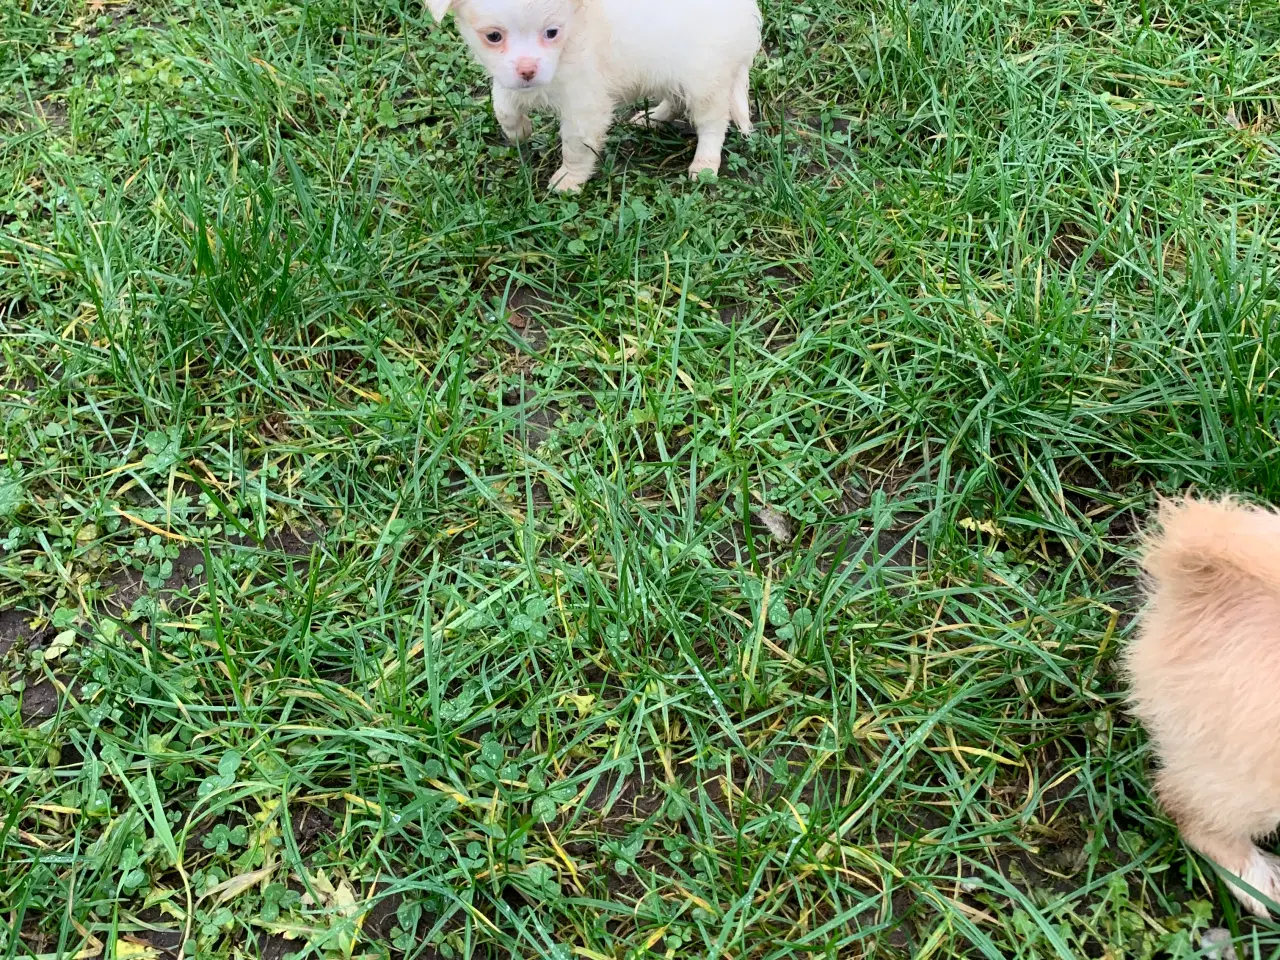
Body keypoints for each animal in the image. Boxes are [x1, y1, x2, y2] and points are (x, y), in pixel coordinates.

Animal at [424, 0, 757, 192]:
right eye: (493, 36)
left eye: (552, 32)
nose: (528, 70)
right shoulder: (509, 79)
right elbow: (503, 104)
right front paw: (519, 131)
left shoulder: (585, 105)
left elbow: (575, 147)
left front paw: (569, 180)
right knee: (675, 99)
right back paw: (652, 118)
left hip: (704, 80)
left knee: (713, 123)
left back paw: (704, 164)